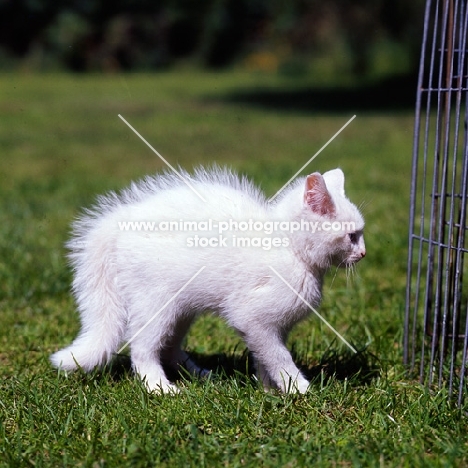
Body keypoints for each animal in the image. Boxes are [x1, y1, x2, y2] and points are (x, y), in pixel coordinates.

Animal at [51, 166, 366, 394]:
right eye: (352, 236)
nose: (363, 253)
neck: (290, 248)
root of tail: (119, 221)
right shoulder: (251, 316)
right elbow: (278, 356)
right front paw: (299, 389)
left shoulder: (272, 326)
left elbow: (264, 356)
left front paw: (269, 391)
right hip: (157, 302)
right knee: (141, 347)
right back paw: (160, 388)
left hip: (182, 308)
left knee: (170, 346)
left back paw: (200, 375)